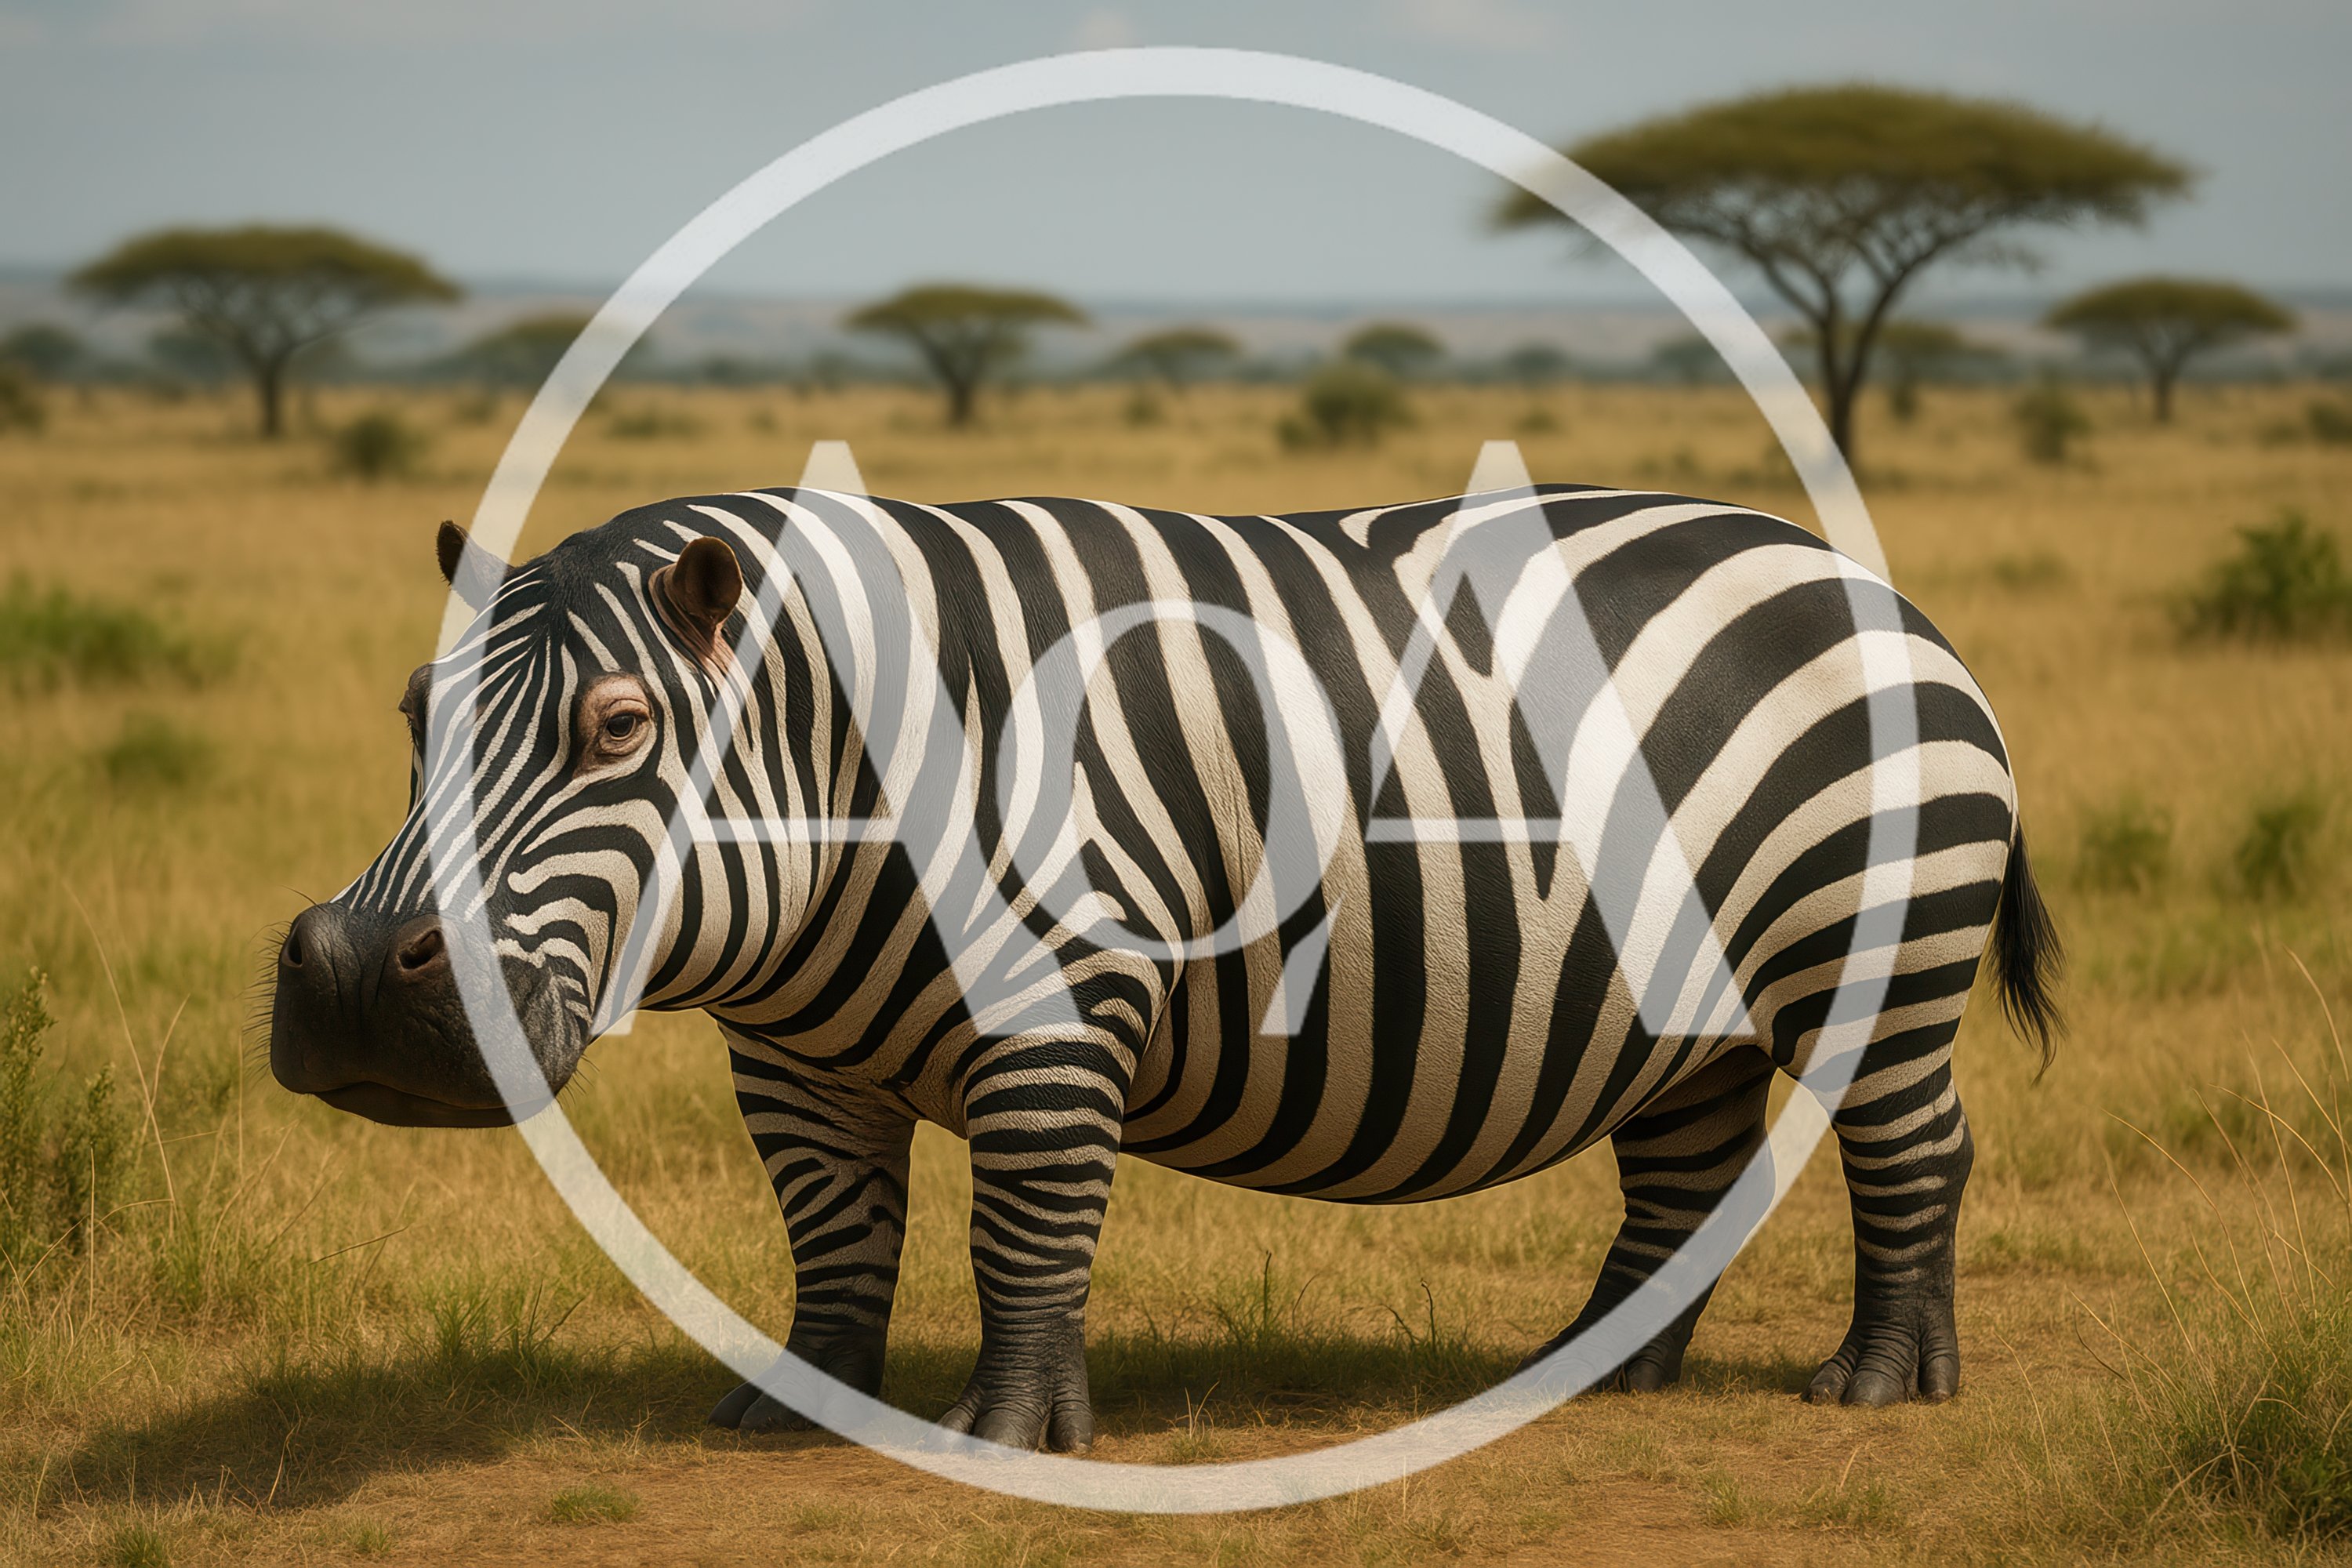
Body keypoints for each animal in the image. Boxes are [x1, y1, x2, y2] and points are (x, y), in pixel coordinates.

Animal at [269, 480, 2060, 1451]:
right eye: (414, 719)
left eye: (621, 731)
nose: (352, 983)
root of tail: (1872, 583)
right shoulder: (797, 1059)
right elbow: (834, 1243)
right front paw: (801, 1405)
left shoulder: (1063, 1006)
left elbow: (1024, 1236)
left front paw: (1007, 1437)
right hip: (1688, 1012)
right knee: (1688, 1175)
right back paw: (1593, 1373)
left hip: (1871, 951)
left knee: (1918, 1148)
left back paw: (1881, 1381)